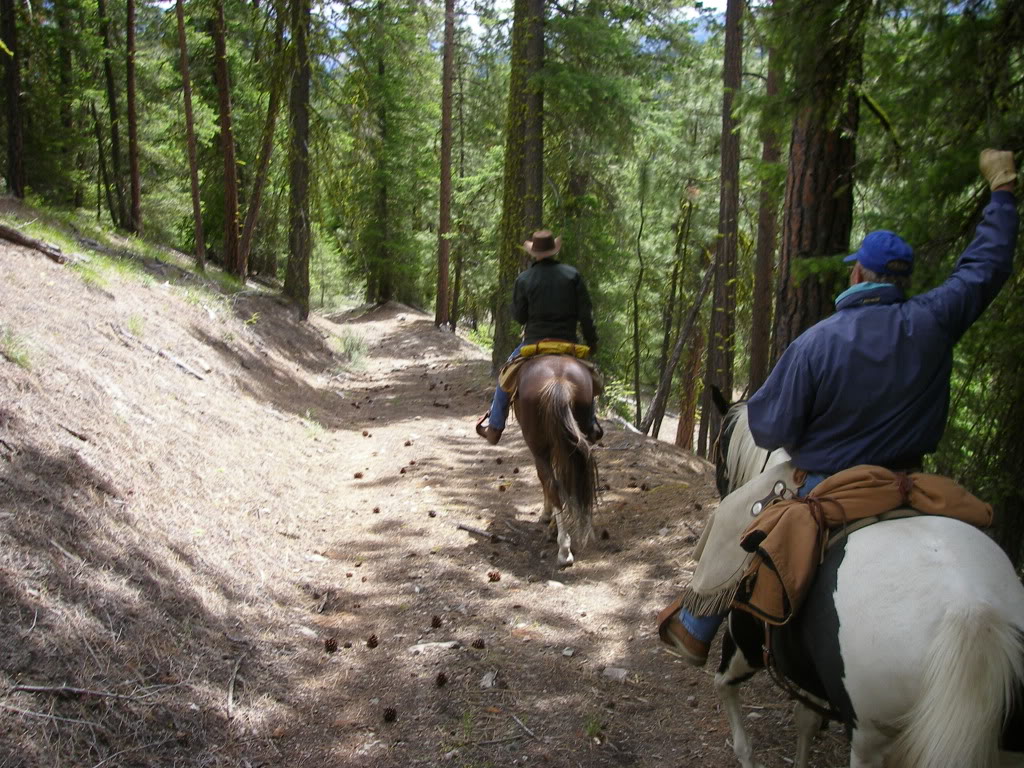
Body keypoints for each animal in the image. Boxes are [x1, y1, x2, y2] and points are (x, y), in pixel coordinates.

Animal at [513, 354, 598, 568]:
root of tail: (559, 381)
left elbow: (547, 481)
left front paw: (546, 514)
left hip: (539, 447)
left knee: (551, 482)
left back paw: (563, 549)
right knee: (569, 482)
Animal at [708, 392, 1024, 768]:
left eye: (718, 446)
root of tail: (971, 611)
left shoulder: (747, 642)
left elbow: (725, 687)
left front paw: (745, 754)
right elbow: (806, 719)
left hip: (870, 738)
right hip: (1003, 746)